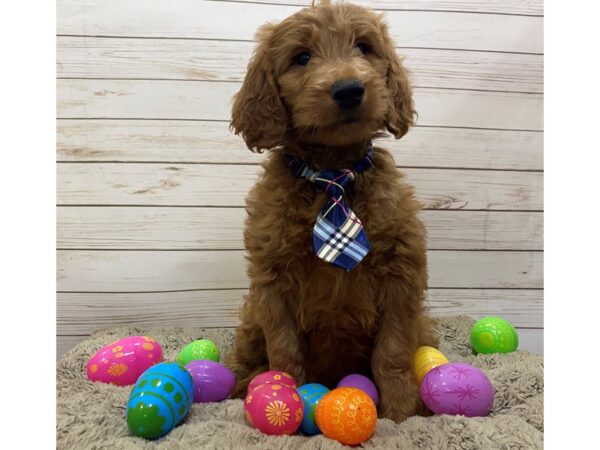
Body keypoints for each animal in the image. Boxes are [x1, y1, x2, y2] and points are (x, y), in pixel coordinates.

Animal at [227, 0, 438, 422]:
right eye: (301, 57)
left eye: (364, 47)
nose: (349, 89)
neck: (332, 174)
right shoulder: (273, 280)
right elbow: (284, 350)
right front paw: (282, 395)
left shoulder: (401, 271)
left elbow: (392, 352)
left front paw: (401, 411)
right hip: (251, 318)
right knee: (243, 356)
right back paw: (240, 384)